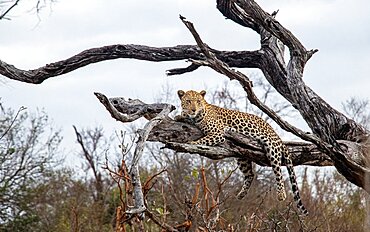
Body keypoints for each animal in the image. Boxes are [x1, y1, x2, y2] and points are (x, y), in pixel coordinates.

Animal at [175, 89, 308, 216]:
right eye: (188, 101)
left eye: (198, 102)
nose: (193, 109)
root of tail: (277, 136)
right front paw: (181, 115)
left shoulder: (218, 133)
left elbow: (202, 140)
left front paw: (192, 143)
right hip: (241, 156)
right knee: (250, 174)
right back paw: (241, 194)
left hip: (272, 148)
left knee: (278, 171)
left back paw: (281, 194)